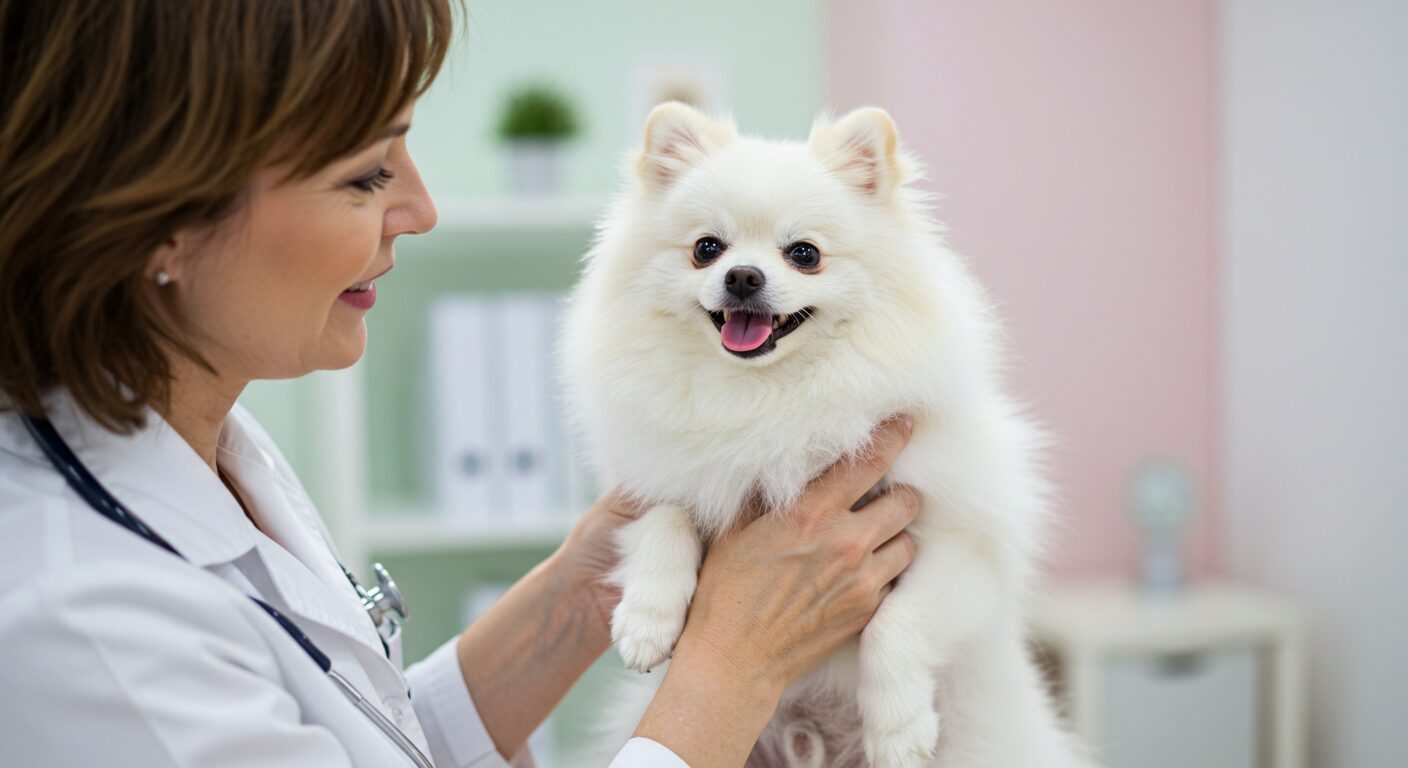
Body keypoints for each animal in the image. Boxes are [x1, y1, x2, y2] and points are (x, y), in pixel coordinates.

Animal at [560, 103, 1086, 766]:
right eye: (707, 248)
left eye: (804, 253)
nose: (742, 276)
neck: (768, 396)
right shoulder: (658, 480)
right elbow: (667, 519)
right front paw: (646, 620)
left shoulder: (963, 547)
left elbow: (897, 625)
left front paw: (898, 731)